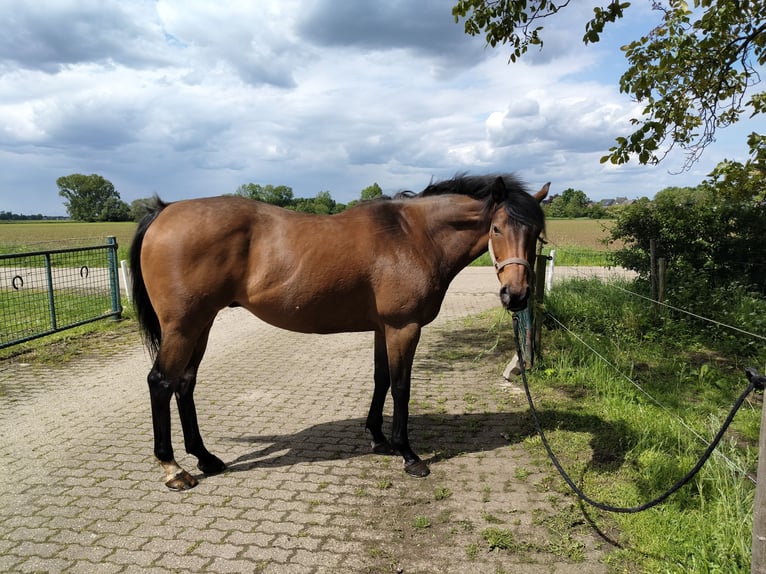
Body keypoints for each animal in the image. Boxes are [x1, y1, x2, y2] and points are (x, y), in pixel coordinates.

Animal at [130, 173, 548, 490]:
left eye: (537, 234)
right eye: (497, 228)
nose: (516, 296)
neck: (413, 237)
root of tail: (165, 211)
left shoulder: (384, 328)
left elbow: (381, 379)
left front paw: (378, 438)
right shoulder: (403, 327)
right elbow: (401, 387)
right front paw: (408, 453)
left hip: (201, 324)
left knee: (185, 383)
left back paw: (206, 458)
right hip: (184, 326)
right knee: (160, 382)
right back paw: (174, 469)